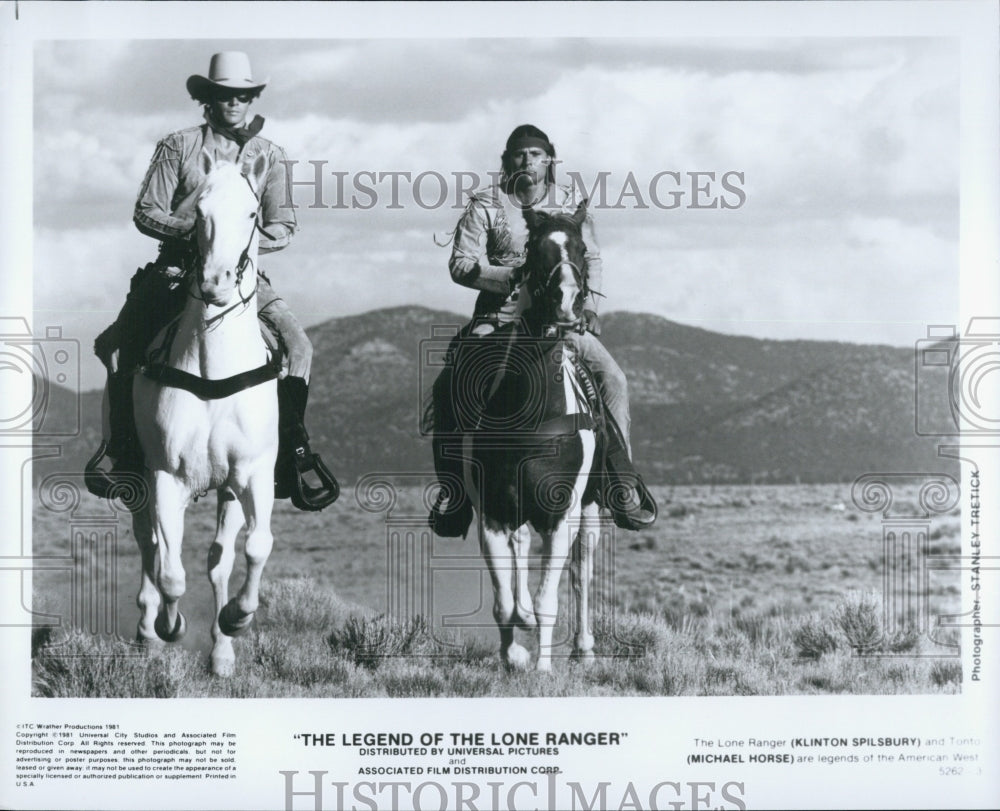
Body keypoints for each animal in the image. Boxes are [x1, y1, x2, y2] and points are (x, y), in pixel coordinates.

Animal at [127, 154, 282, 680]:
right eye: (198, 213)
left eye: (252, 214)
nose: (215, 282)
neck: (215, 370)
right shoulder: (165, 477)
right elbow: (171, 571)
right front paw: (170, 626)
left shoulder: (253, 474)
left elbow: (256, 547)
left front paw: (237, 618)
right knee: (150, 548)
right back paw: (148, 635)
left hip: (228, 490)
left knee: (219, 559)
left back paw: (221, 652)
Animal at [454, 200, 600, 668]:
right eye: (536, 252)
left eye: (581, 248)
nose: (568, 302)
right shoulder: (492, 513)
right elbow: (504, 603)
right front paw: (513, 655)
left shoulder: (560, 514)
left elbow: (548, 598)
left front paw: (543, 667)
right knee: (520, 556)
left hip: (589, 508)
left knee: (582, 569)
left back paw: (584, 648)